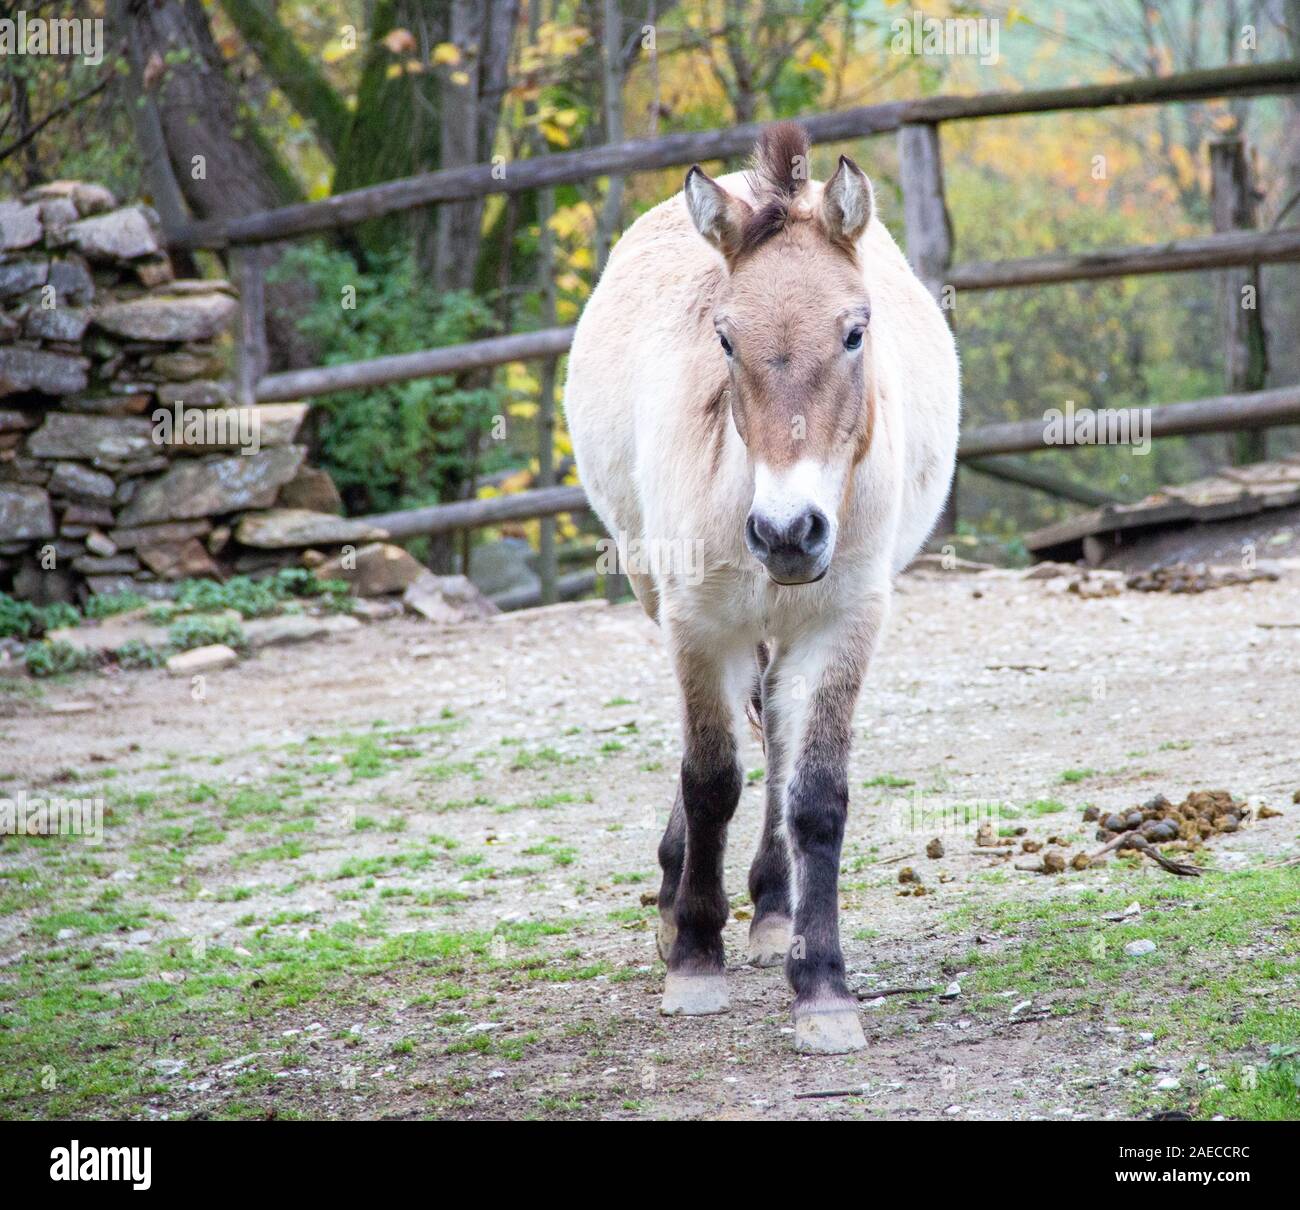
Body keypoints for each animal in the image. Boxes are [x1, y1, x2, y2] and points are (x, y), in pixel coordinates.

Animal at [564, 120, 961, 1050]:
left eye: (854, 333)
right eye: (726, 340)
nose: (788, 532)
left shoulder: (844, 622)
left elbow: (814, 797)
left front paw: (823, 989)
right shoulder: (697, 624)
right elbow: (710, 779)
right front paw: (694, 958)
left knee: (777, 745)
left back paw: (774, 910)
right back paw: (678, 901)